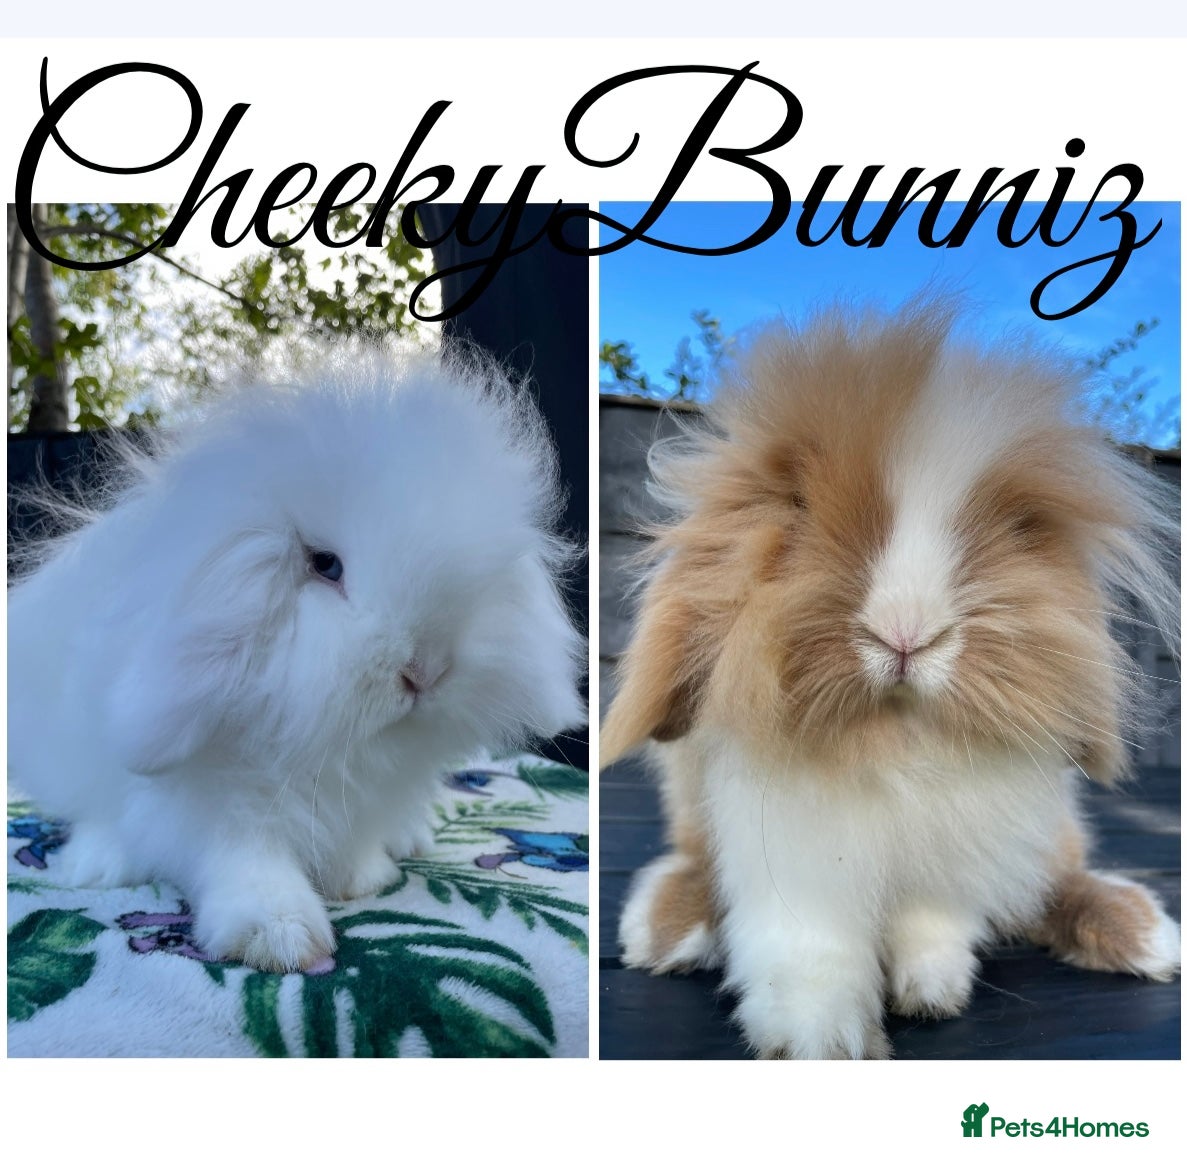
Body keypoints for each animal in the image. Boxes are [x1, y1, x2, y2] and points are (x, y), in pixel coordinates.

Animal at [8, 347, 585, 972]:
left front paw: (361, 879)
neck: (324, 749)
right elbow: (246, 864)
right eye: (324, 564)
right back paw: (99, 863)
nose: (425, 671)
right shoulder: (206, 810)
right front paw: (279, 938)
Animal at [601, 299, 1180, 1059]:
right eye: (797, 506)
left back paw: (1148, 936)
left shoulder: (958, 846)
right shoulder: (794, 860)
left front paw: (931, 991)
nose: (906, 632)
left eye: (1019, 528)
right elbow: (810, 953)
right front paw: (820, 1042)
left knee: (1052, 883)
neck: (891, 742)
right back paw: (661, 933)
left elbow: (933, 922)